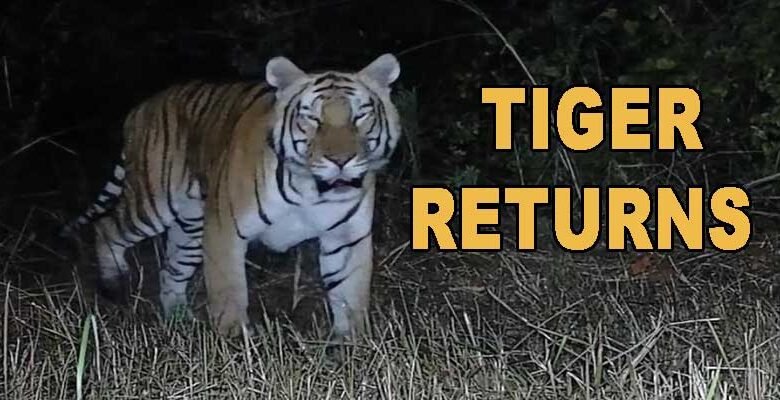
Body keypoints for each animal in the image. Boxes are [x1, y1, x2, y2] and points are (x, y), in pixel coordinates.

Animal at [60, 53, 402, 339]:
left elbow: (350, 296)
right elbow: (229, 292)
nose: (341, 160)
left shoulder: (346, 237)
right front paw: (236, 345)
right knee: (107, 226)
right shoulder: (225, 230)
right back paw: (114, 282)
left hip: (191, 226)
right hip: (154, 202)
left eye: (360, 116)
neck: (312, 189)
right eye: (313, 119)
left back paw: (180, 322)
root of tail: (141, 107)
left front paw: (351, 347)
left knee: (171, 271)